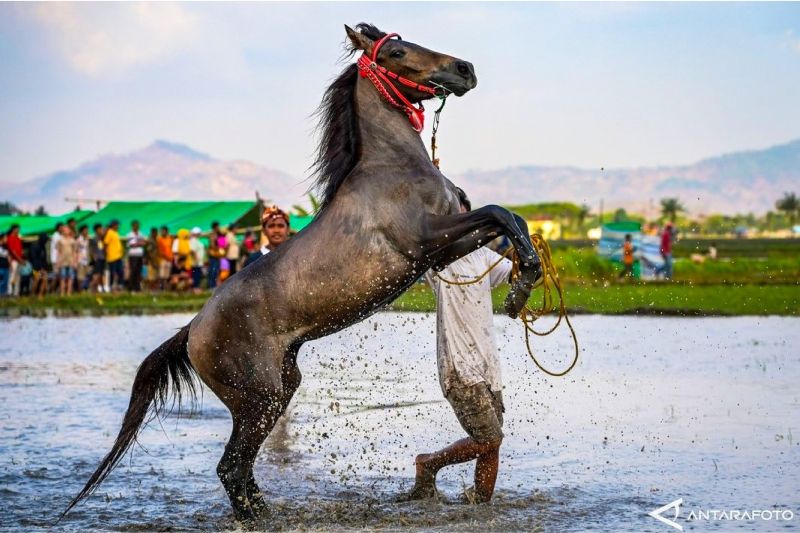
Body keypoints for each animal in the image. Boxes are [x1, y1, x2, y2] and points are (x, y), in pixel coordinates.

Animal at [64, 22, 544, 520]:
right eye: (395, 51)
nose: (464, 69)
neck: (392, 165)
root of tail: (193, 328)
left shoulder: (442, 251)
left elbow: (508, 222)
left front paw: (523, 285)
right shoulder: (426, 239)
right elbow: (500, 213)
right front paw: (523, 284)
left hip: (279, 389)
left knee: (241, 470)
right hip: (260, 398)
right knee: (231, 468)